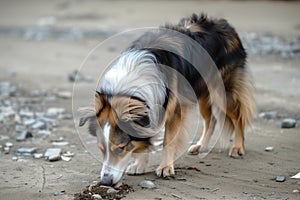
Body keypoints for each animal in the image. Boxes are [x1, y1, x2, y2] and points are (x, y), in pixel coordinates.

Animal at [78, 13, 254, 186]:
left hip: (221, 92)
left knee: (238, 118)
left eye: (120, 148)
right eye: (101, 149)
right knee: (211, 120)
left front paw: (165, 168)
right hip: (202, 93)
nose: (105, 182)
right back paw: (201, 146)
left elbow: (168, 142)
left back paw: (238, 147)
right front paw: (140, 164)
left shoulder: (175, 110)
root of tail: (223, 23)